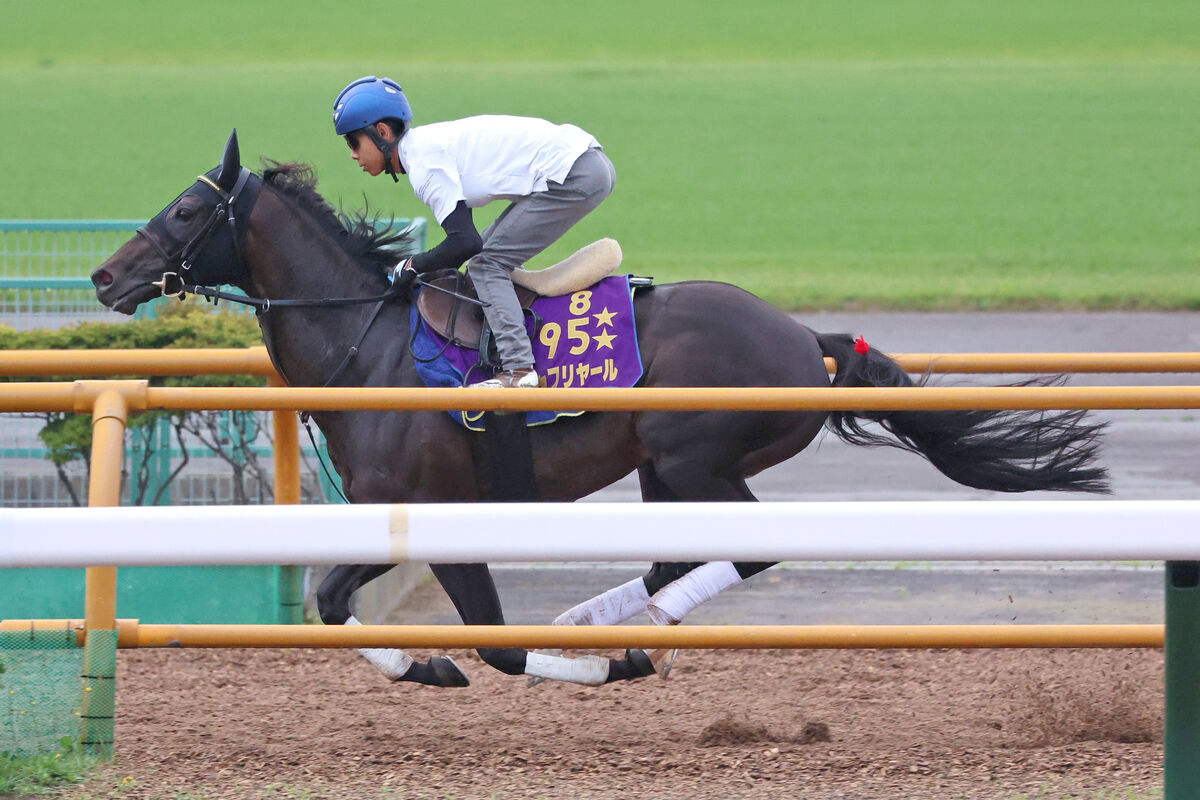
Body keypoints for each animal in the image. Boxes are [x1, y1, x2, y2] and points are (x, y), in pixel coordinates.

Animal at [91, 136, 1104, 690]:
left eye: (185, 211)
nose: (105, 276)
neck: (368, 346)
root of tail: (801, 335)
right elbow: (333, 605)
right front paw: (439, 662)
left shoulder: (436, 513)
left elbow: (482, 644)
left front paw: (503, 665)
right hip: (664, 470)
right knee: (671, 560)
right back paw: (607, 621)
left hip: (696, 460)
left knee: (742, 549)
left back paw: (625, 637)